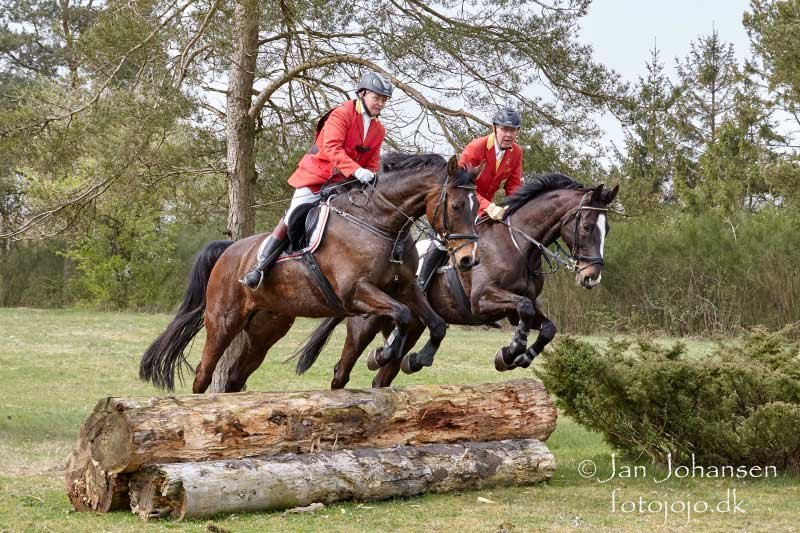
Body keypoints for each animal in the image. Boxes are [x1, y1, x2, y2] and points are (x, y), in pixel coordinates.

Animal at [139, 153, 482, 393]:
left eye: (475, 206)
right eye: (456, 206)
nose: (467, 259)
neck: (380, 223)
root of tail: (229, 250)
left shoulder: (407, 288)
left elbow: (435, 324)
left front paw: (417, 358)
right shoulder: (356, 293)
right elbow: (402, 315)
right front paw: (383, 354)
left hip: (267, 328)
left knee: (235, 377)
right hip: (224, 320)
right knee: (204, 373)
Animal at [295, 173, 618, 389]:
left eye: (608, 229)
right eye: (587, 227)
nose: (591, 277)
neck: (517, 245)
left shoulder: (514, 308)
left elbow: (546, 326)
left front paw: (519, 355)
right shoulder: (483, 300)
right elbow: (525, 309)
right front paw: (511, 351)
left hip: (413, 326)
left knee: (383, 375)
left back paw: (401, 361)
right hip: (365, 323)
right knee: (342, 371)